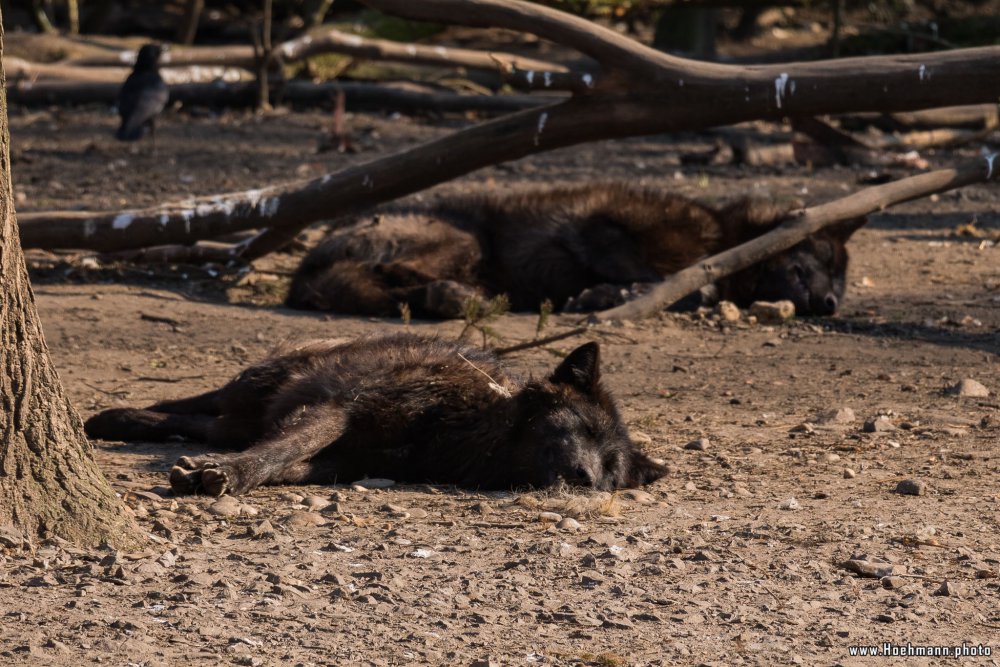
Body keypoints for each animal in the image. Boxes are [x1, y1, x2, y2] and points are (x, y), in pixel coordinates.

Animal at [86, 334, 664, 496]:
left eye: (611, 470)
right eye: (583, 429)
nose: (587, 479)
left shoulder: (355, 460)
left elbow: (288, 465)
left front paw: (227, 473)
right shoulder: (339, 409)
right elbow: (279, 451)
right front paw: (225, 473)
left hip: (238, 418)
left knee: (200, 425)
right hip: (251, 388)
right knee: (184, 410)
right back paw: (108, 419)